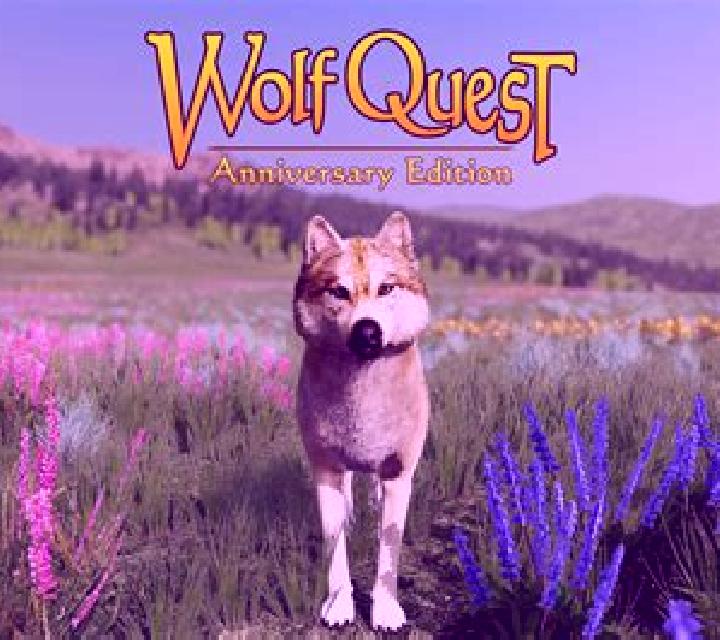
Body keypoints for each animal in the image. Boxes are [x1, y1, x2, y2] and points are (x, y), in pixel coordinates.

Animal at [293, 211, 430, 631]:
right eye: (338, 291)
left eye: (386, 288)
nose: (367, 330)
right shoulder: (325, 468)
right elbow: (334, 548)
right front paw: (339, 605)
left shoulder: (399, 471)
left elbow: (389, 551)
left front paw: (386, 611)